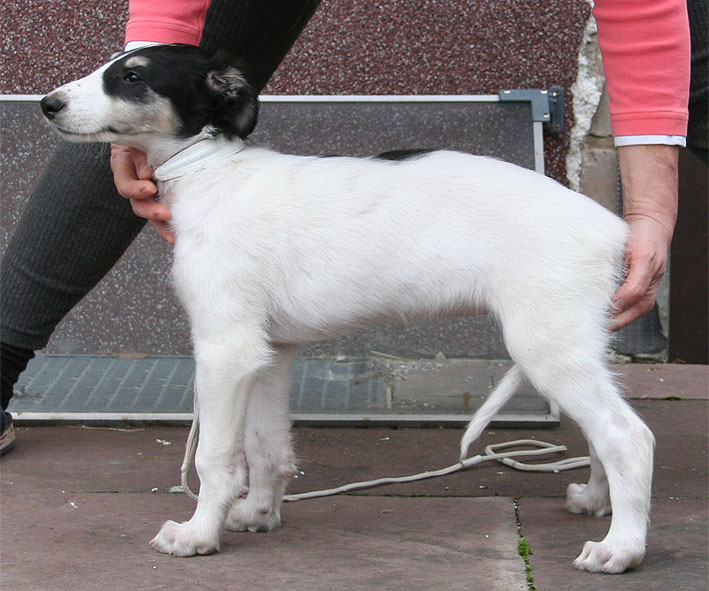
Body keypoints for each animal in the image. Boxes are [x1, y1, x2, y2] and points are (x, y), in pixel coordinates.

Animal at [41, 43, 654, 573]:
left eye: (132, 76)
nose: (48, 104)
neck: (209, 173)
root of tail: (614, 229)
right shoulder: (269, 351)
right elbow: (266, 448)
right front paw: (257, 514)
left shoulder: (225, 348)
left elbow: (217, 457)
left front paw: (197, 534)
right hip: (573, 345)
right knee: (602, 435)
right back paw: (596, 503)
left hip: (547, 345)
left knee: (628, 437)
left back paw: (621, 548)